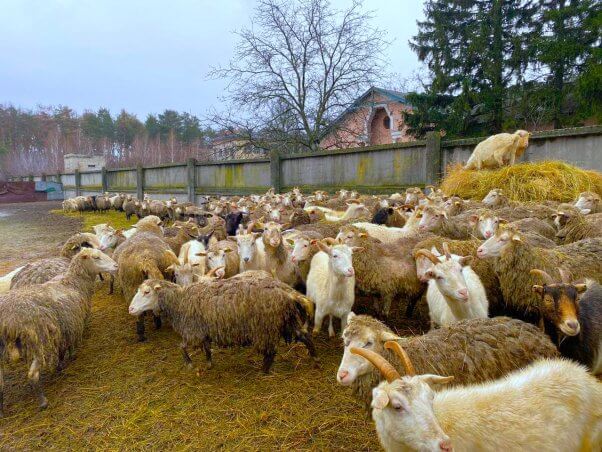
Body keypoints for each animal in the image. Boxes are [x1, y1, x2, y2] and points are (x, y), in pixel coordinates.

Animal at [0, 249, 117, 414]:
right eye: (96, 257)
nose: (116, 266)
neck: (72, 282)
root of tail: (7, 322)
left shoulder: (62, 329)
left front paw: (60, 365)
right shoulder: (69, 326)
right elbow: (67, 347)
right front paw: (67, 360)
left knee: (0, 383)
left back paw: (1, 411)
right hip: (38, 341)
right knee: (32, 374)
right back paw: (43, 402)